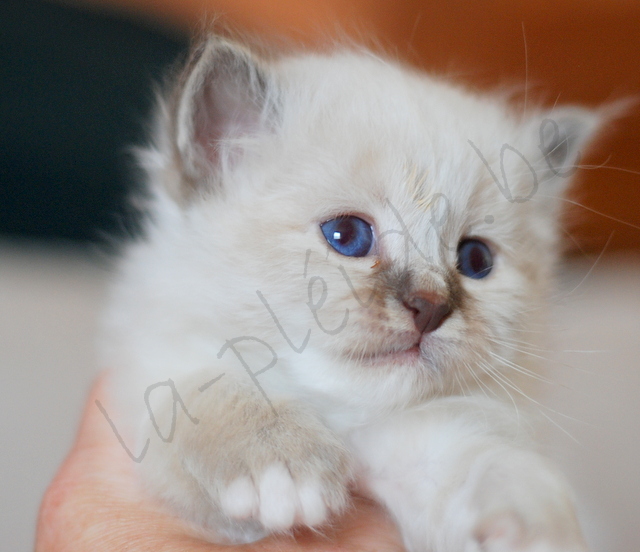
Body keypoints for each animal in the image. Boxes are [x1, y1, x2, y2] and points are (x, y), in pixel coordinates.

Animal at [101, 35, 600, 552]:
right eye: (346, 236)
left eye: (476, 260)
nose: (430, 307)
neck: (346, 421)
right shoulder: (157, 378)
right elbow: (217, 390)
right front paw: (282, 466)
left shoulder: (438, 449)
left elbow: (503, 469)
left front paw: (540, 530)